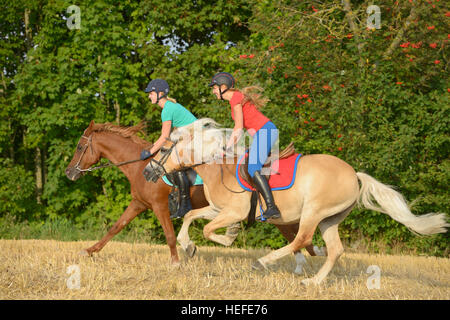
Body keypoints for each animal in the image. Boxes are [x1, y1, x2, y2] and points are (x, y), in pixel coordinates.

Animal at [64, 120, 324, 270]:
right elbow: (115, 228)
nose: (69, 172)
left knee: (294, 234)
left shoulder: (159, 206)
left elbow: (170, 235)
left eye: (79, 147)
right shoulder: (139, 203)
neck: (141, 166)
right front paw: (89, 251)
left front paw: (177, 261)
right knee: (295, 235)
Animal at [146, 119, 448, 284]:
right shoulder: (218, 209)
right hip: (330, 218)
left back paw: (263, 262)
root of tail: (354, 174)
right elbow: (190, 218)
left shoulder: (234, 211)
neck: (219, 168)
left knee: (301, 239)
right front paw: (189, 246)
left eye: (163, 149)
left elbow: (210, 230)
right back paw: (313, 282)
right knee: (334, 249)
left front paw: (228, 237)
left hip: (313, 211)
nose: (148, 172)